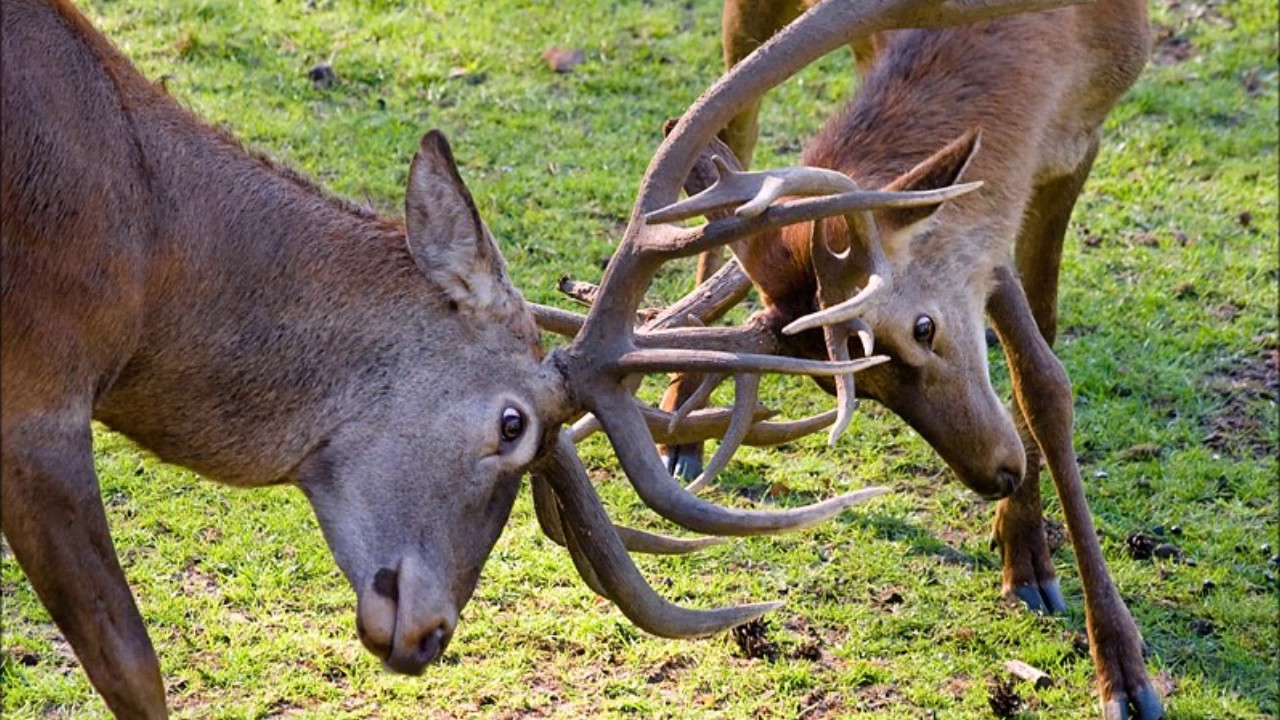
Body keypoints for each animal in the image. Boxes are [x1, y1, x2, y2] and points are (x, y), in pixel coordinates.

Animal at [650, 0, 1162, 712]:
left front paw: (1097, 639)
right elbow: (1037, 371)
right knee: (734, 136)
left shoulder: (1068, 152)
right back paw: (682, 425)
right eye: (855, 388)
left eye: (923, 326)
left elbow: (1043, 378)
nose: (998, 474)